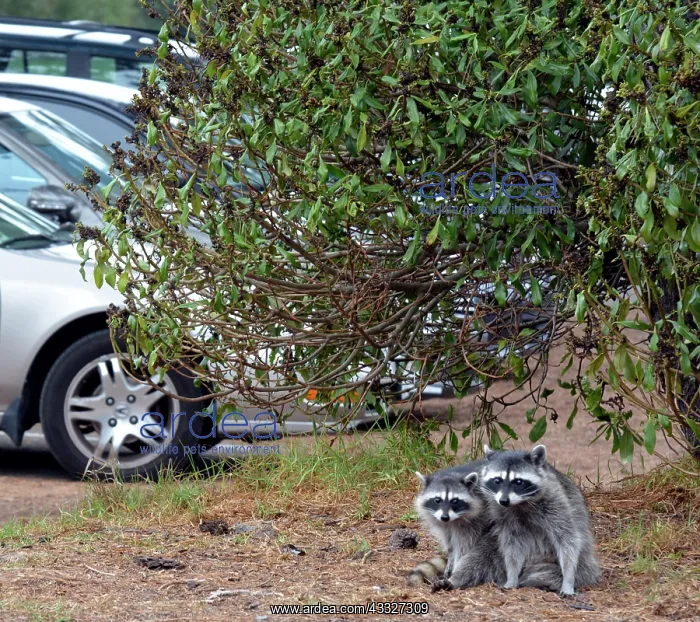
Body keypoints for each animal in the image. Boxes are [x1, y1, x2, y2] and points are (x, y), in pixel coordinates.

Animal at [480, 444, 601, 596]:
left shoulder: (556, 502)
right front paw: (512, 576)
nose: (504, 500)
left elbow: (568, 539)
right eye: (497, 480)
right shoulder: (503, 515)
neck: (520, 503)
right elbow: (512, 546)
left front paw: (568, 578)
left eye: (518, 482)